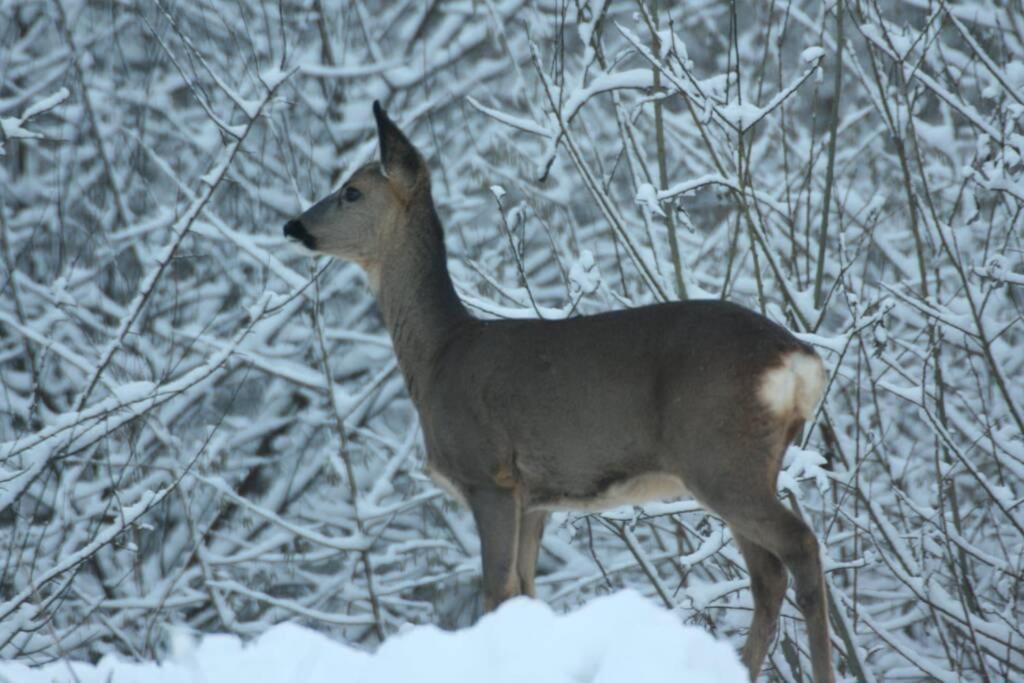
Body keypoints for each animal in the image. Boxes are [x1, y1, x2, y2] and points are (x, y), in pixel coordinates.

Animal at [284, 102, 835, 683]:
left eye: (351, 191)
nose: (293, 225)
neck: (439, 356)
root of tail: (800, 359)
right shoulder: (536, 499)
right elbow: (526, 594)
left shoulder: (489, 475)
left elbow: (496, 593)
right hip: (743, 464)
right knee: (768, 577)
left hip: (721, 456)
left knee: (799, 547)